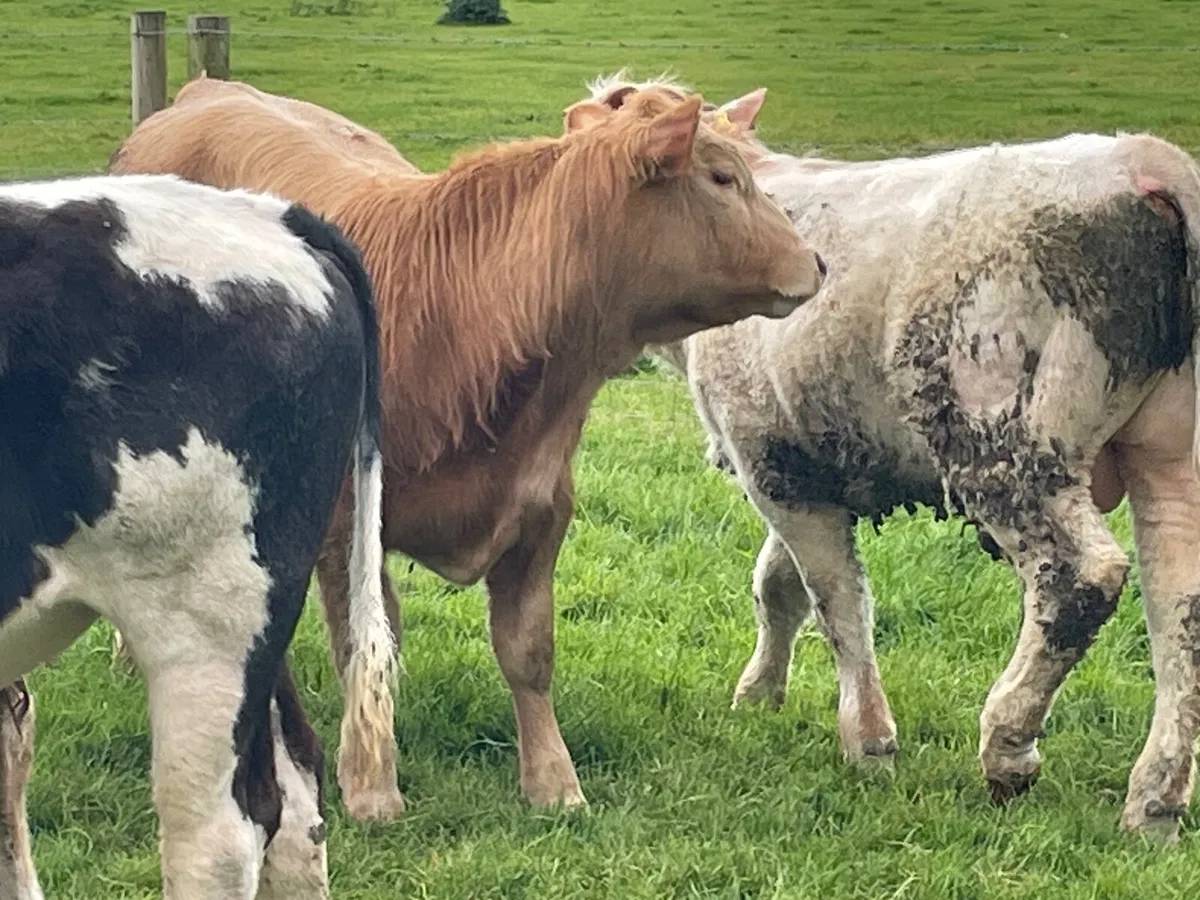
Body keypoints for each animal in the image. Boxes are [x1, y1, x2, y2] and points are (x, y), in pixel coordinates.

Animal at [108, 80, 828, 819]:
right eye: (722, 178)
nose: (817, 262)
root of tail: (207, 90)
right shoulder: (346, 524)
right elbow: (361, 643)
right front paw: (372, 785)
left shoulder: (542, 510)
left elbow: (527, 651)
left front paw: (552, 779)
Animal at [582, 72, 1200, 841]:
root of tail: (1149, 167)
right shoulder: (804, 459)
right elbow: (778, 586)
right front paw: (760, 694)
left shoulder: (772, 462)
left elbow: (836, 601)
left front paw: (868, 740)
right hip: (1169, 453)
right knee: (1181, 606)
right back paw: (1156, 800)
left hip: (1006, 438)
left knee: (1078, 579)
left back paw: (1008, 746)